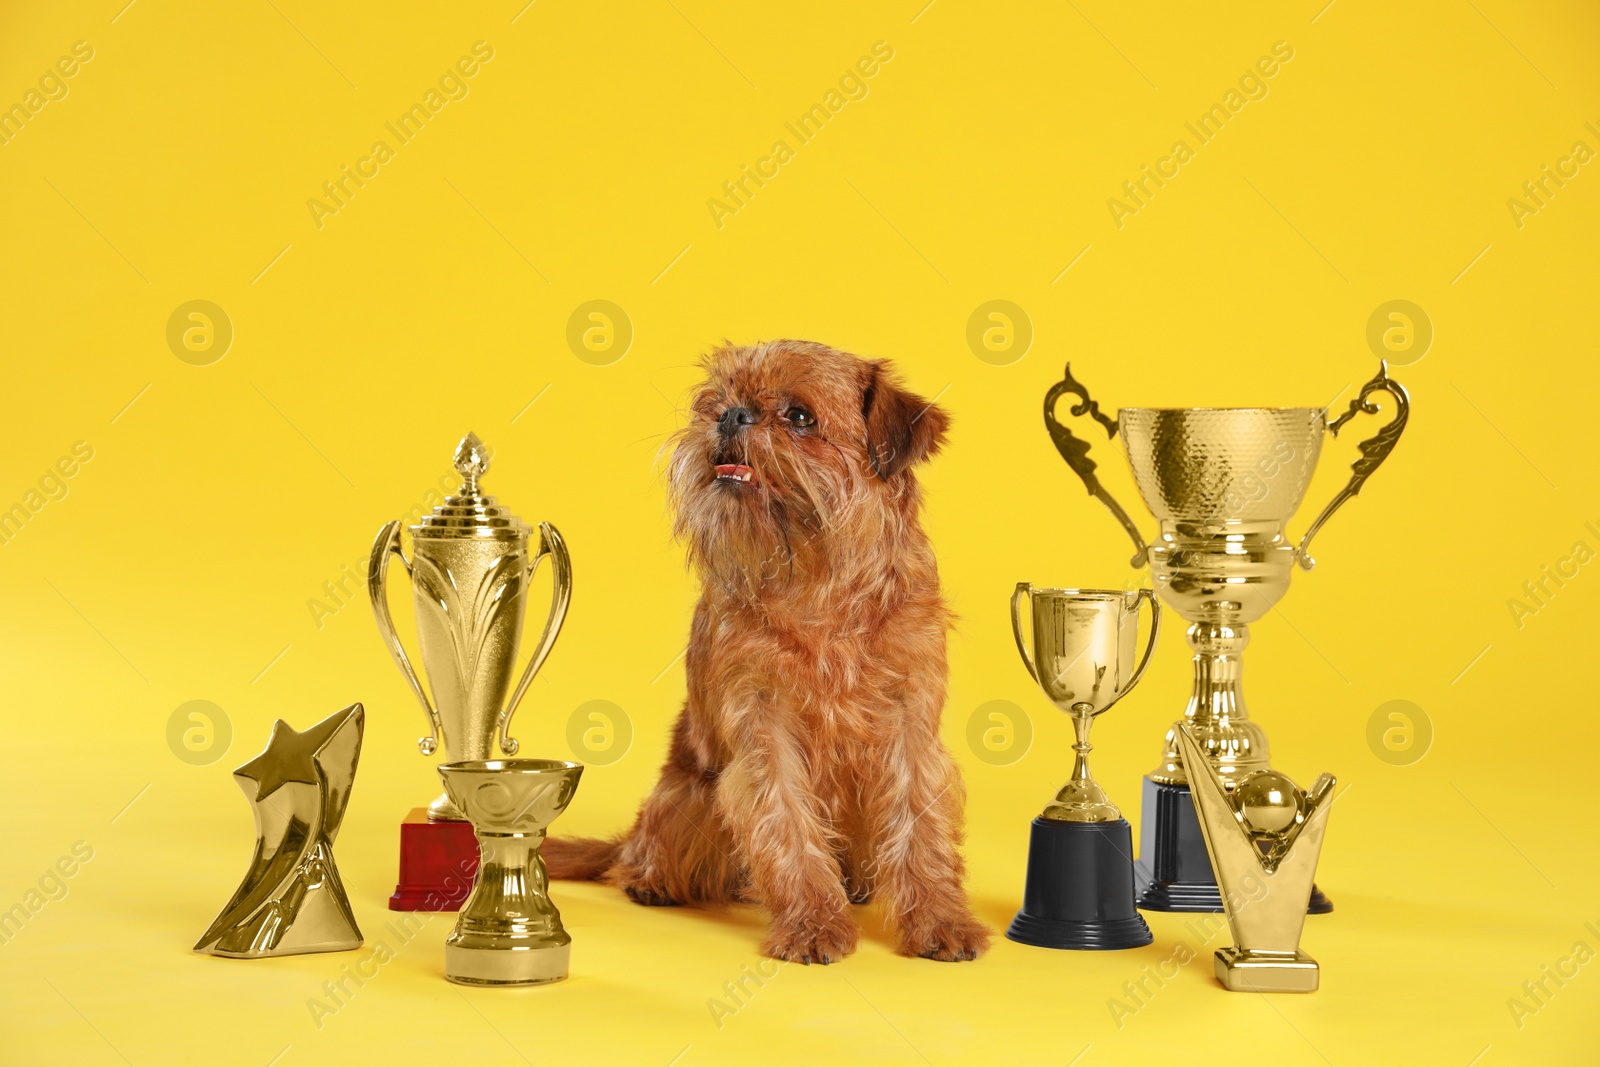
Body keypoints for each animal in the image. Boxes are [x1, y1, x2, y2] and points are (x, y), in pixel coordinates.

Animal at [547, 342, 985, 966]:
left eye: (799, 417)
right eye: (718, 401)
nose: (732, 415)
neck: (820, 584)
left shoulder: (910, 726)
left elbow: (921, 825)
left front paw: (941, 920)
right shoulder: (764, 727)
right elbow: (786, 825)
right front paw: (812, 925)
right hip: (689, 797)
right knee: (648, 853)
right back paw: (651, 880)